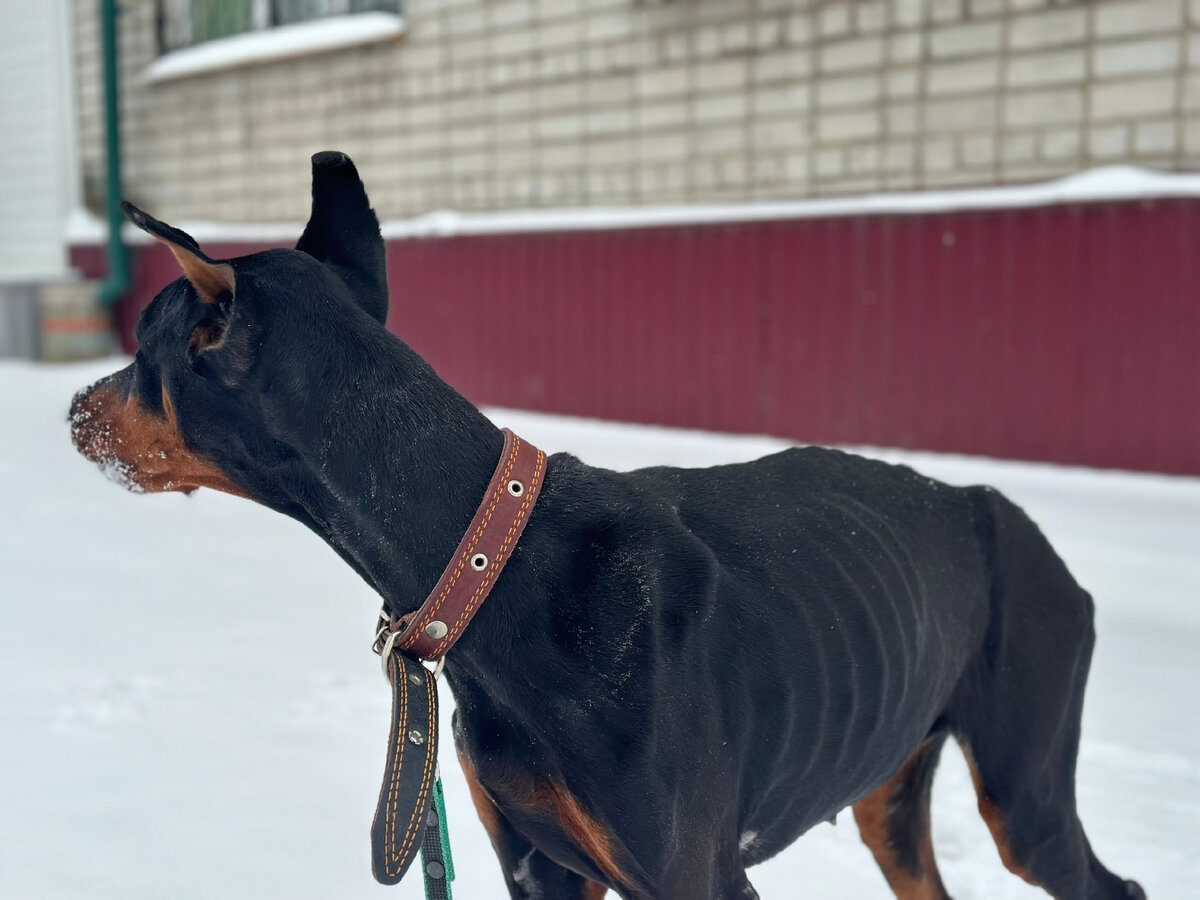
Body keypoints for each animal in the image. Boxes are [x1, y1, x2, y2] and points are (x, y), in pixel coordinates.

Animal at [72, 153, 1142, 900]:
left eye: (143, 350)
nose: (74, 407)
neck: (497, 560)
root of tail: (1000, 515)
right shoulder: (539, 861)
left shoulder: (695, 875)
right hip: (893, 782)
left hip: (1026, 786)